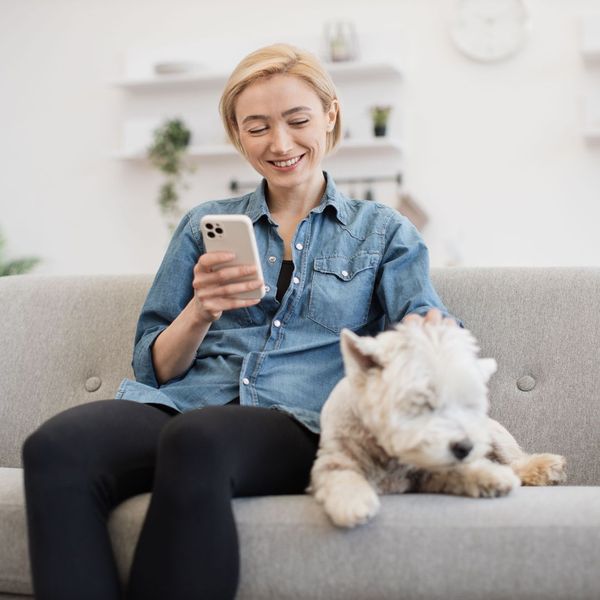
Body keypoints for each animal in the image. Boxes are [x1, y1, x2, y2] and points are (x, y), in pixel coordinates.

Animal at [310, 322, 568, 528]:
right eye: (421, 401)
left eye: (463, 401)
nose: (465, 447)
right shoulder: (333, 458)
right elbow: (341, 476)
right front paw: (352, 503)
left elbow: (463, 470)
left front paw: (493, 477)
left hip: (495, 435)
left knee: (515, 460)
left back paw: (546, 467)